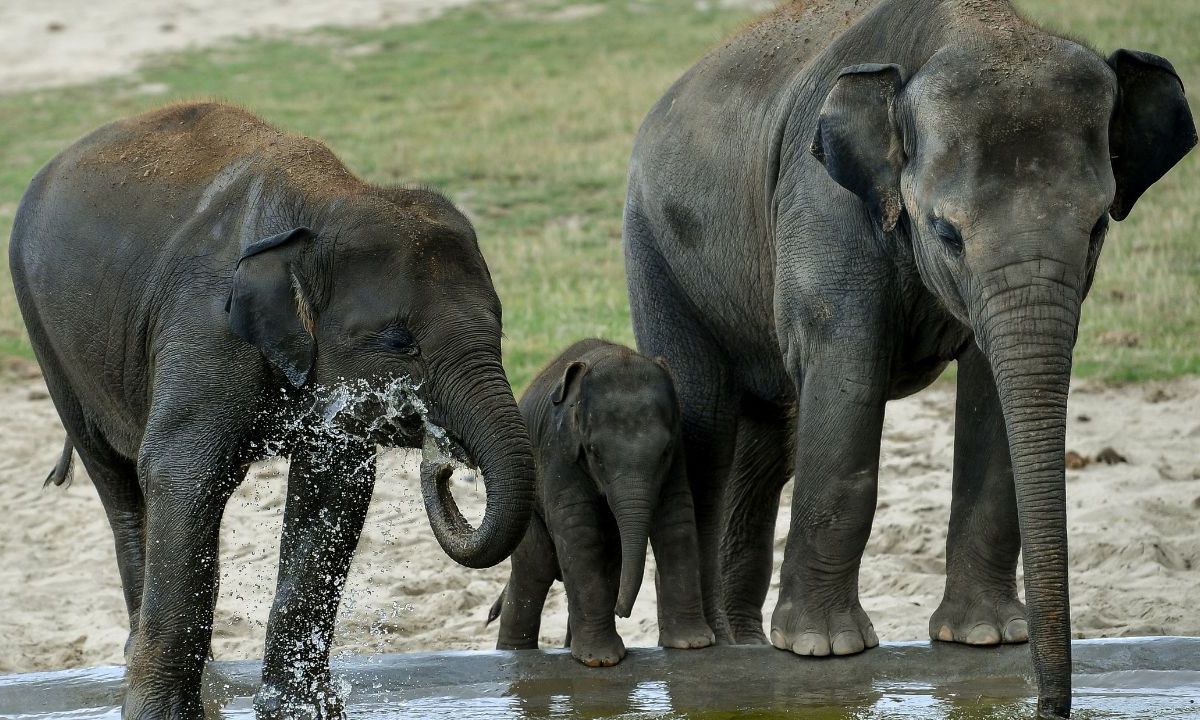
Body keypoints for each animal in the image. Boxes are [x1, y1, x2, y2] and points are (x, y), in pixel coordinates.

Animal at [8, 102, 535, 720]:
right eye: (399, 340)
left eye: (500, 329)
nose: (444, 461)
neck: (325, 203)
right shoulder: (206, 326)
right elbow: (182, 475)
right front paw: (163, 715)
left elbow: (334, 493)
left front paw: (303, 710)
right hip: (47, 339)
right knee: (118, 483)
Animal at [484, 340, 710, 667]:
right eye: (594, 452)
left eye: (665, 451)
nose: (622, 611)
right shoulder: (559, 452)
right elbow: (580, 532)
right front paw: (600, 661)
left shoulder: (678, 454)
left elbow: (675, 518)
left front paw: (692, 644)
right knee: (535, 568)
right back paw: (515, 654)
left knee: (608, 562)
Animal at [624, 0, 1195, 715]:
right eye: (947, 233)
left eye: (1096, 228)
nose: (1051, 704)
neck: (965, 30)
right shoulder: (823, 204)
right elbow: (847, 377)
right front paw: (822, 649)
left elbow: (989, 396)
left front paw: (984, 636)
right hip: (656, 250)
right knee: (704, 419)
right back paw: (701, 646)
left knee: (765, 446)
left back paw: (741, 645)